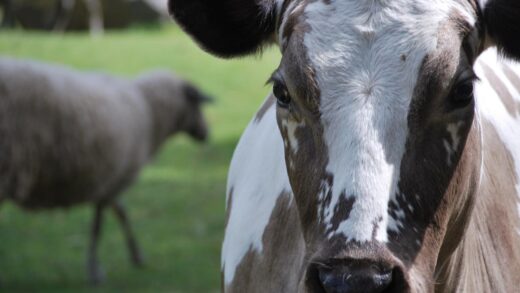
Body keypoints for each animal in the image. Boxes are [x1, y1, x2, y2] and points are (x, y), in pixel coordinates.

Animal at [0, 58, 213, 284]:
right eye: (197, 103)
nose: (206, 133)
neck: (149, 112)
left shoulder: (110, 181)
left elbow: (121, 213)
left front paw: (136, 256)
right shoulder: (109, 181)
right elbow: (99, 227)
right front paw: (95, 271)